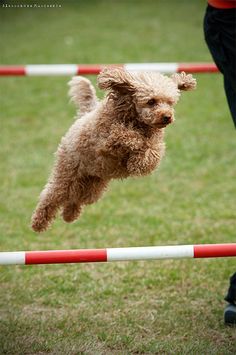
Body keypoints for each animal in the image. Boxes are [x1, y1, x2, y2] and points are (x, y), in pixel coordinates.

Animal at [31, 68, 197, 232]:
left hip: (93, 184)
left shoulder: (154, 142)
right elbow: (125, 135)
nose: (167, 116)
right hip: (67, 173)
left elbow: (152, 151)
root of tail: (85, 114)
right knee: (52, 196)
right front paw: (136, 152)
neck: (135, 120)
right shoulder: (105, 141)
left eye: (170, 102)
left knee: (76, 198)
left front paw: (138, 161)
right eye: (151, 101)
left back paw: (69, 215)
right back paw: (38, 223)